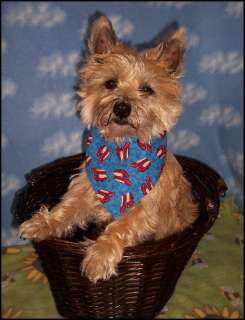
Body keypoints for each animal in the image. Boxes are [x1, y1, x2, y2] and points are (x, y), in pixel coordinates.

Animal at [19, 16, 199, 284]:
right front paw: (43, 224)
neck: (121, 150)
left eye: (147, 89)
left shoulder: (145, 208)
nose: (122, 107)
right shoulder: (84, 189)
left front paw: (99, 257)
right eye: (110, 83)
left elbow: (122, 226)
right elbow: (66, 209)